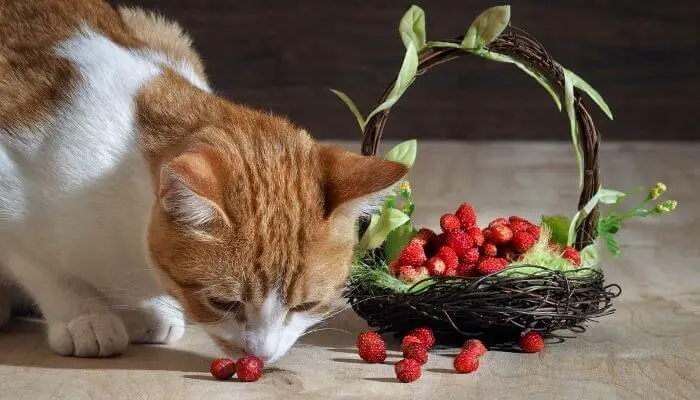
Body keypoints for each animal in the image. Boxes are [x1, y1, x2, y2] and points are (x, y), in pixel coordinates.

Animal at [0, 0, 404, 362]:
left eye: (307, 305)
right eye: (222, 302)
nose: (262, 354)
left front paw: (150, 310)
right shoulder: (12, 198)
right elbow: (47, 271)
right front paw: (84, 317)